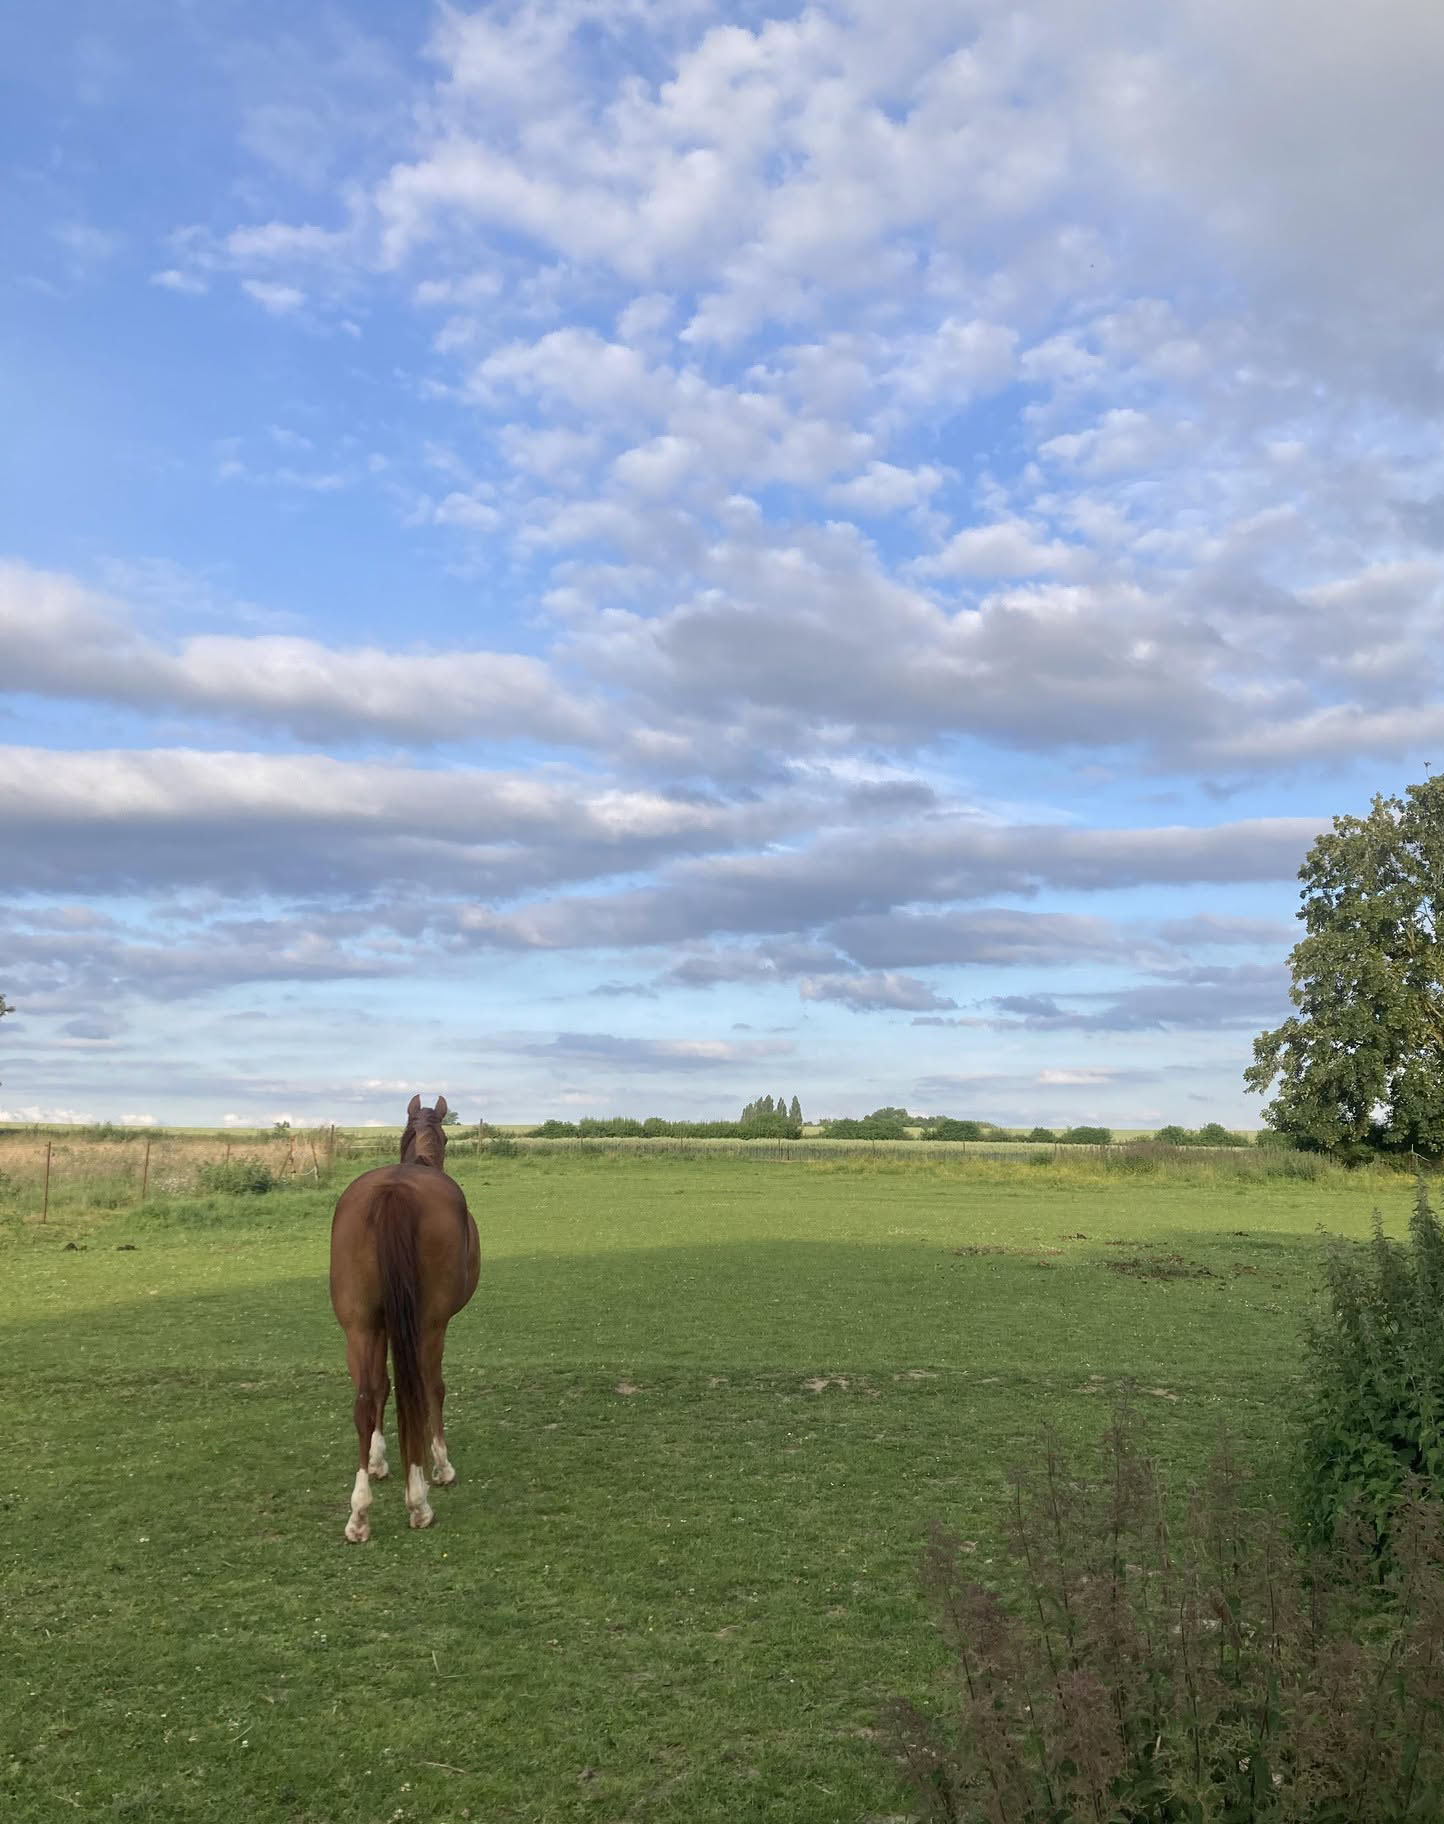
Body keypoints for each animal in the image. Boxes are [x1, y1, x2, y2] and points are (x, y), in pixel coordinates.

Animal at [329, 1093, 480, 1541]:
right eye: (447, 1136)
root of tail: (393, 1190)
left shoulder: (376, 1325)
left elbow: (380, 1388)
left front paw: (378, 1460)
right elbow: (431, 1390)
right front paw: (441, 1466)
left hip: (359, 1325)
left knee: (364, 1398)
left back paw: (359, 1514)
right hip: (428, 1325)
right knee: (424, 1388)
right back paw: (420, 1499)